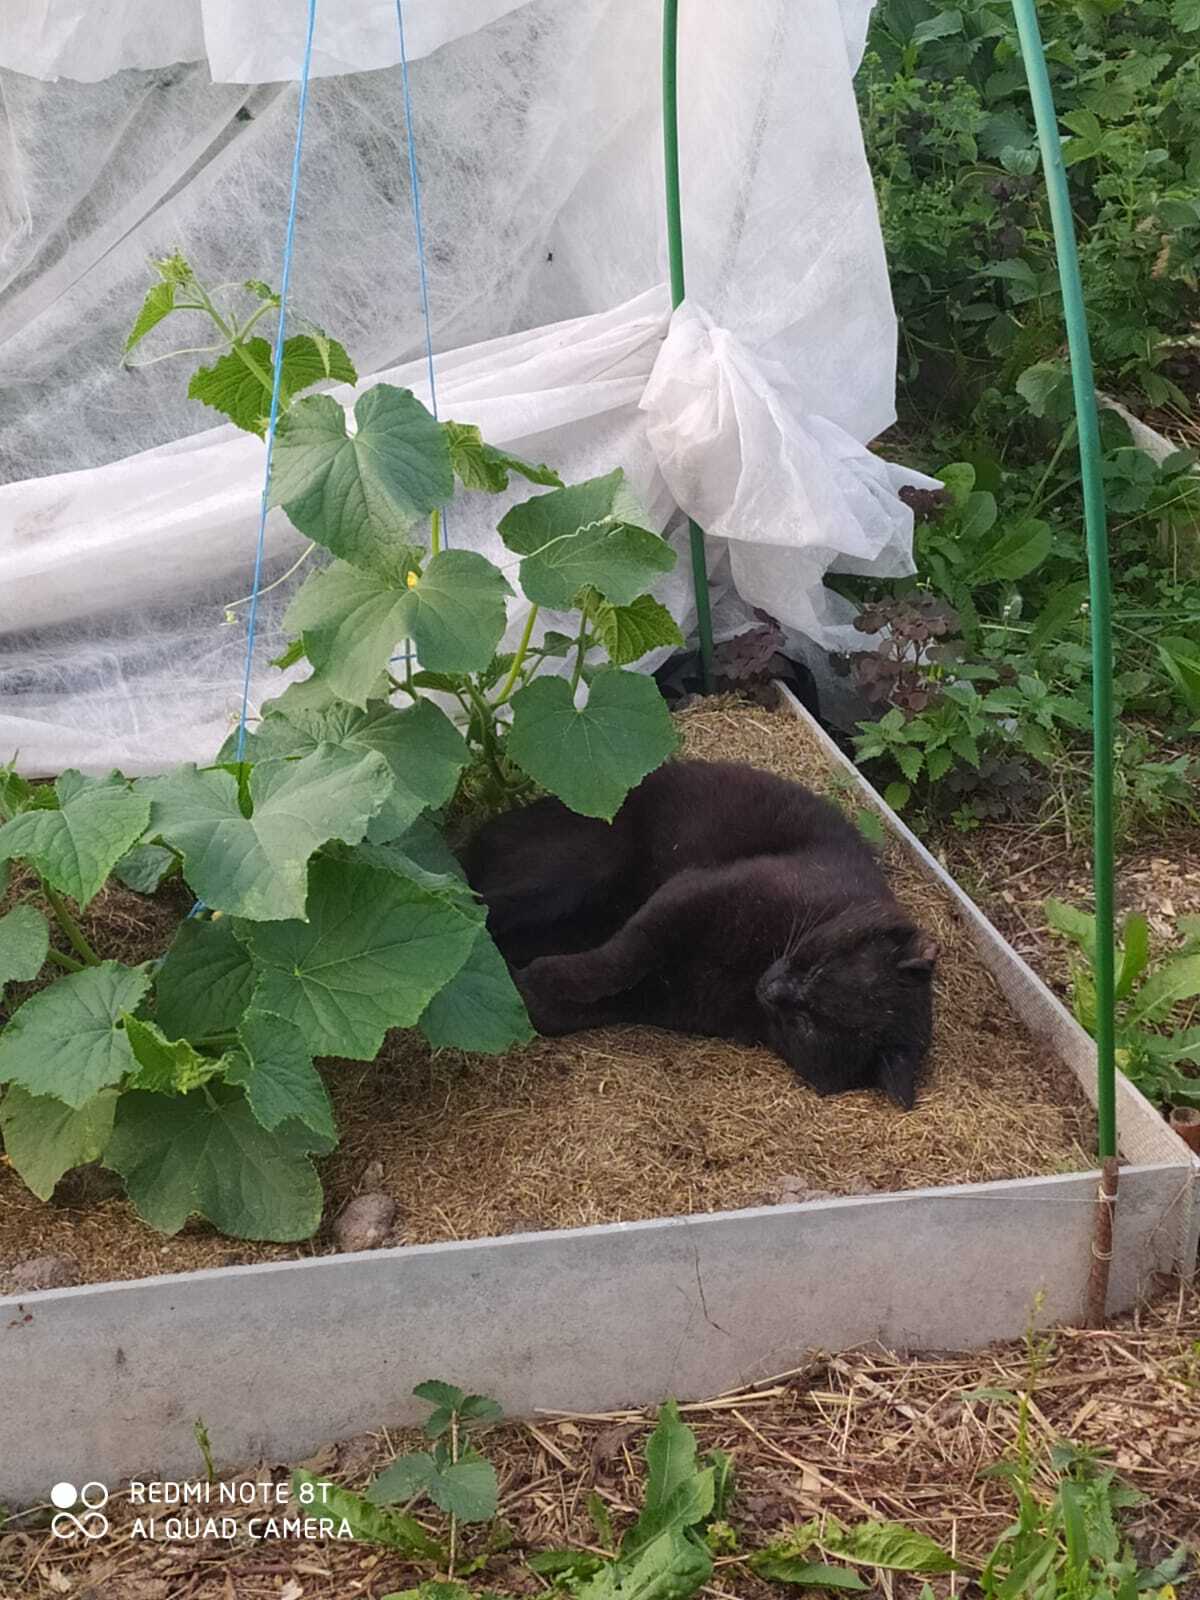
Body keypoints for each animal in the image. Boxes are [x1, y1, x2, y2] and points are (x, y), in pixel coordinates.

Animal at [460, 755, 940, 1107]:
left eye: (810, 1024)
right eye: (820, 967)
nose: (774, 989)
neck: (752, 964)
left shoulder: (659, 996)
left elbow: (558, 1008)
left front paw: (523, 988)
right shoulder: (689, 894)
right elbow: (620, 956)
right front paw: (545, 976)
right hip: (574, 872)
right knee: (474, 904)